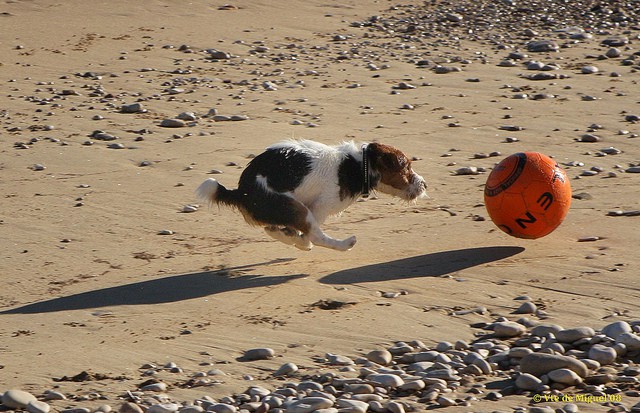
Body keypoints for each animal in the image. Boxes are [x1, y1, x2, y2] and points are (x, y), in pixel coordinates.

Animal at [195, 139, 424, 251]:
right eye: (406, 168)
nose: (424, 184)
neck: (359, 165)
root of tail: (241, 192)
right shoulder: (320, 207)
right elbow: (309, 234)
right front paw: (299, 240)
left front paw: (291, 236)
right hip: (296, 209)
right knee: (314, 236)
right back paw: (342, 244)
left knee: (272, 229)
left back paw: (288, 237)